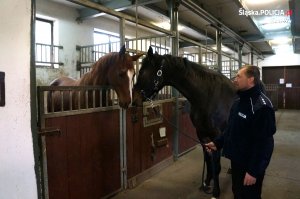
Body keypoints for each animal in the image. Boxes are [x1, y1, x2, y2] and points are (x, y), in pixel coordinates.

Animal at [133, 46, 237, 197]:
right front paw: (206, 183)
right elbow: (208, 160)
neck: (207, 96)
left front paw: (216, 192)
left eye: (142, 72)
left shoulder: (216, 136)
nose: (134, 100)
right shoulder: (201, 133)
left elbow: (216, 164)